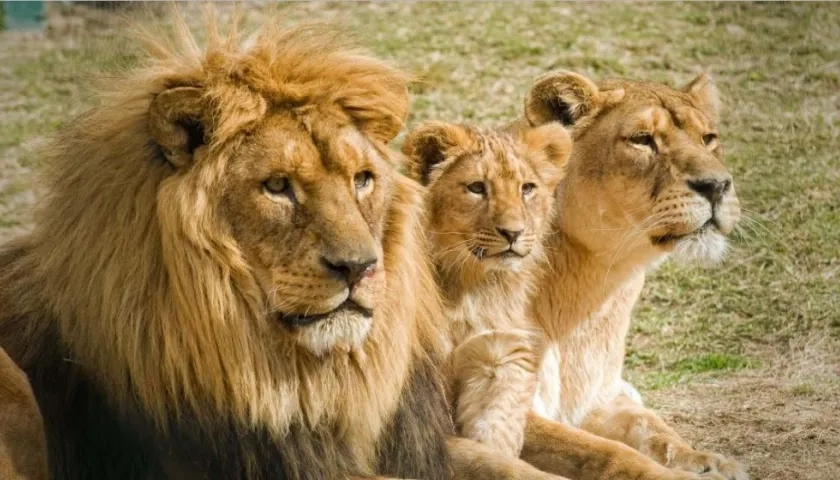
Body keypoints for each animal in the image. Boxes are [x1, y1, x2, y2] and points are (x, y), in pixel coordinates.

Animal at [402, 121, 572, 457]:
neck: (471, 285)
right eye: (477, 188)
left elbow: (496, 436)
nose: (513, 233)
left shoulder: (499, 356)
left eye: (527, 188)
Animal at [495, 71, 747, 480]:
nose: (717, 186)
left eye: (709, 138)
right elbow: (604, 451)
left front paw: (707, 462)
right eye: (642, 140)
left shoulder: (601, 396)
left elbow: (653, 427)